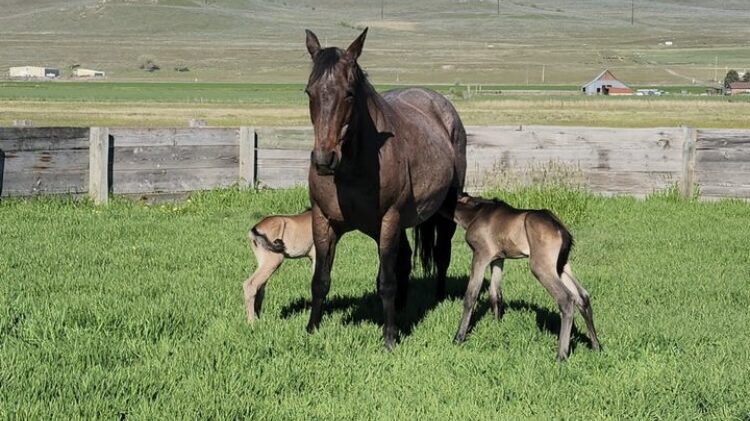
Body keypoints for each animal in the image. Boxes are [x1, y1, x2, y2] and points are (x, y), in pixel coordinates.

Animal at [452, 195, 604, 360]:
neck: (475, 213)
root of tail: (562, 230)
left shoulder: (481, 255)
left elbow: (470, 296)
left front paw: (458, 338)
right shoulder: (498, 259)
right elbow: (495, 293)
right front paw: (497, 327)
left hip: (540, 267)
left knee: (567, 299)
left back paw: (561, 355)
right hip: (561, 266)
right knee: (582, 296)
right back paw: (596, 347)